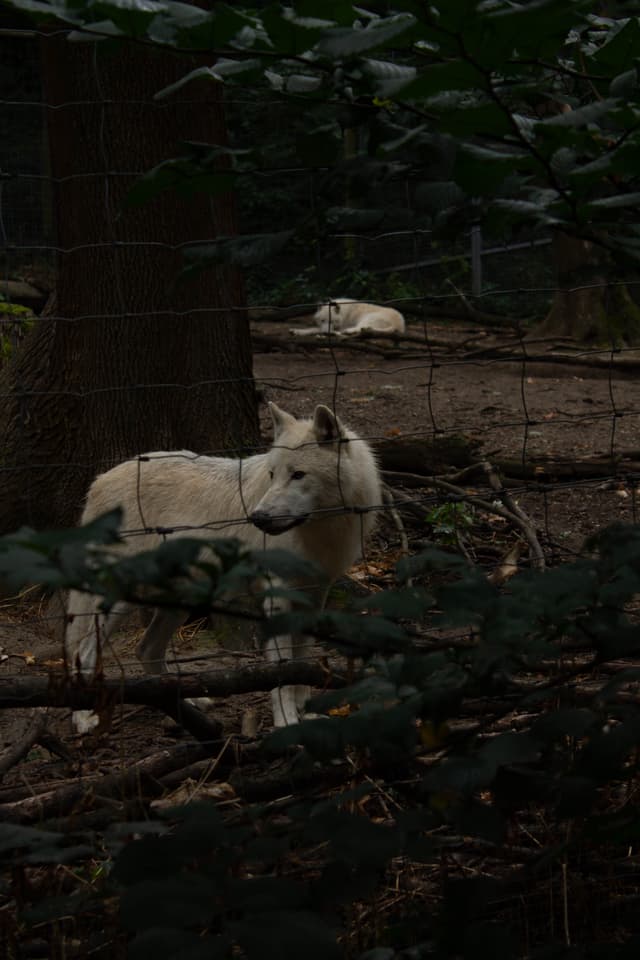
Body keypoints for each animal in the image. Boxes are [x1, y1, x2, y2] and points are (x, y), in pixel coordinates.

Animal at [65, 403, 382, 733]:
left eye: (298, 475)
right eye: (272, 475)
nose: (258, 517)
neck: (321, 531)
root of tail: (100, 479)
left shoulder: (314, 597)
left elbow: (302, 664)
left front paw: (305, 715)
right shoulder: (277, 599)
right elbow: (282, 672)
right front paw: (286, 723)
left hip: (179, 601)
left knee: (146, 650)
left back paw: (185, 703)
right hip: (123, 599)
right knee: (82, 652)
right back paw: (83, 717)